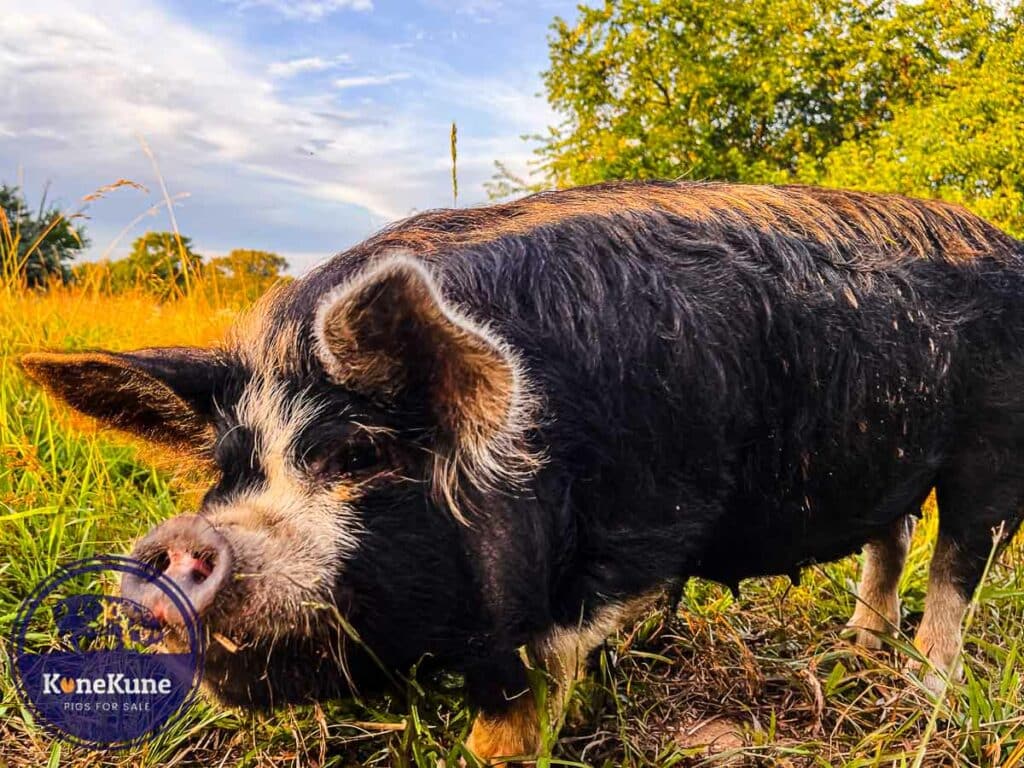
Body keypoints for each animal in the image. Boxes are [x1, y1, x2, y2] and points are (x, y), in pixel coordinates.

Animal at [22, 182, 1024, 765]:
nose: (177, 541)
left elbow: (518, 700)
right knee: (892, 534)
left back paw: (920, 693)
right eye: (224, 475)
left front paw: (488, 753)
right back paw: (855, 653)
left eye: (357, 456)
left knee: (957, 562)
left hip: (991, 445)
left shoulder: (616, 546)